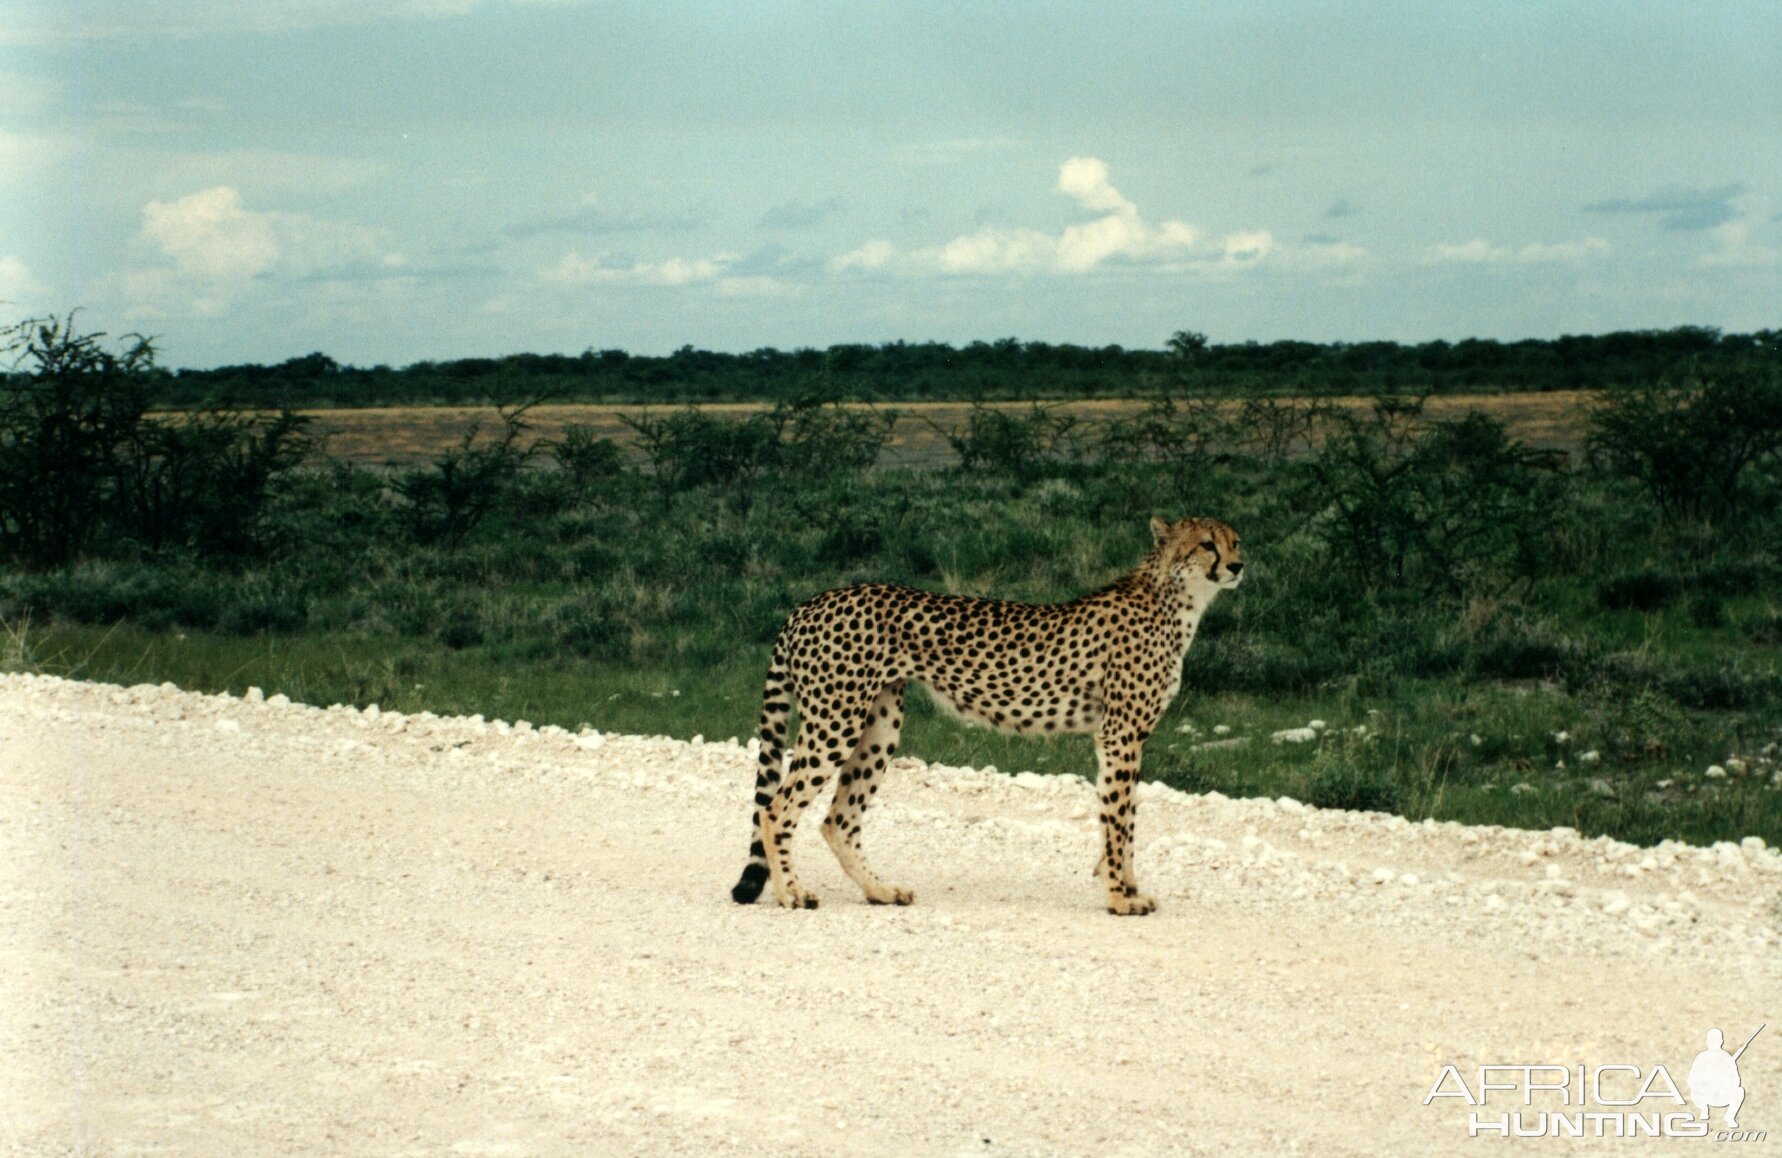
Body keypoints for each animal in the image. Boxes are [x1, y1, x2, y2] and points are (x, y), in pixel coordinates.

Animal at [730, 513, 1247, 912]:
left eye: (1235, 540)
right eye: (1206, 544)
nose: (1238, 565)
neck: (1175, 598)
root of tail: (810, 602)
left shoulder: (1125, 737)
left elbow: (1126, 818)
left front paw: (1128, 887)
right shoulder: (1121, 734)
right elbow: (1118, 820)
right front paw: (1121, 897)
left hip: (879, 726)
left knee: (837, 818)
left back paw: (880, 891)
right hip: (835, 721)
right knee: (775, 808)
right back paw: (792, 893)